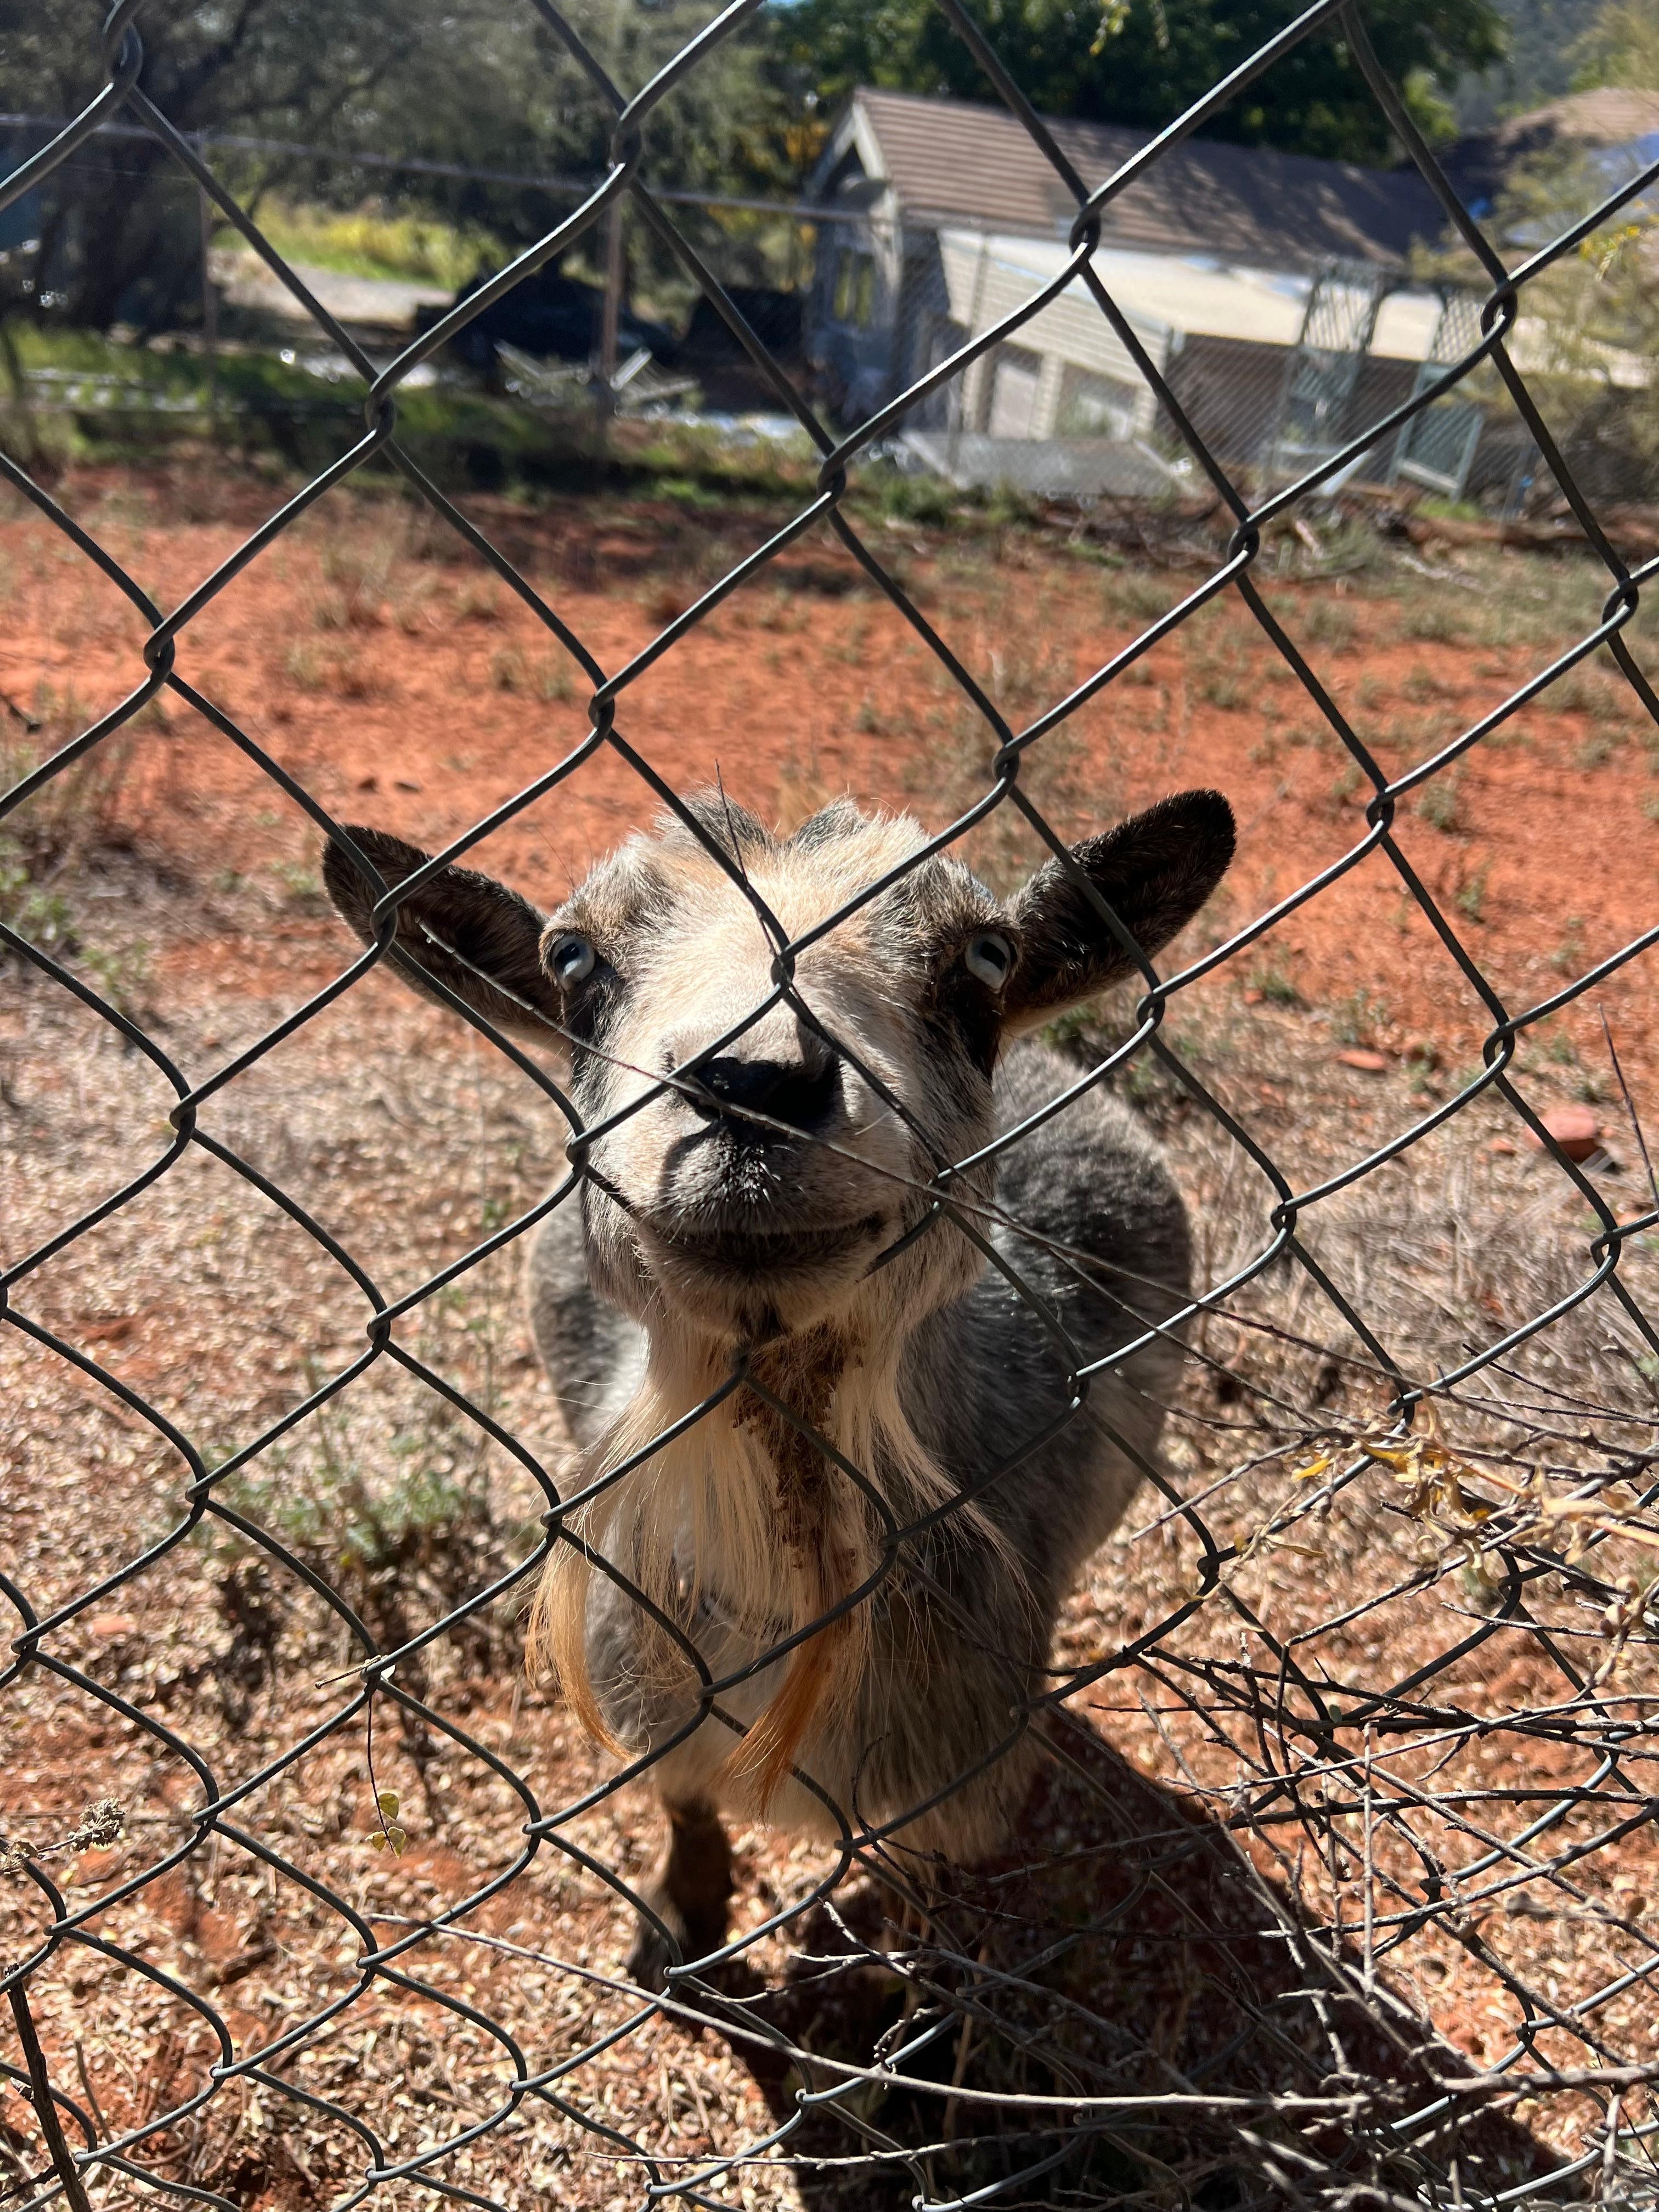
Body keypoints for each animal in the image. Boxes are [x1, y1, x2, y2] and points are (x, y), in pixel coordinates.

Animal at [323, 787, 1235, 1984]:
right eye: (572, 959)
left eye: (983, 958)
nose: (753, 1084)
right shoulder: (650, 1701)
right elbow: (682, 1809)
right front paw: (678, 1920)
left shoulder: (956, 1777)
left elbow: (925, 1920)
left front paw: (906, 2024)